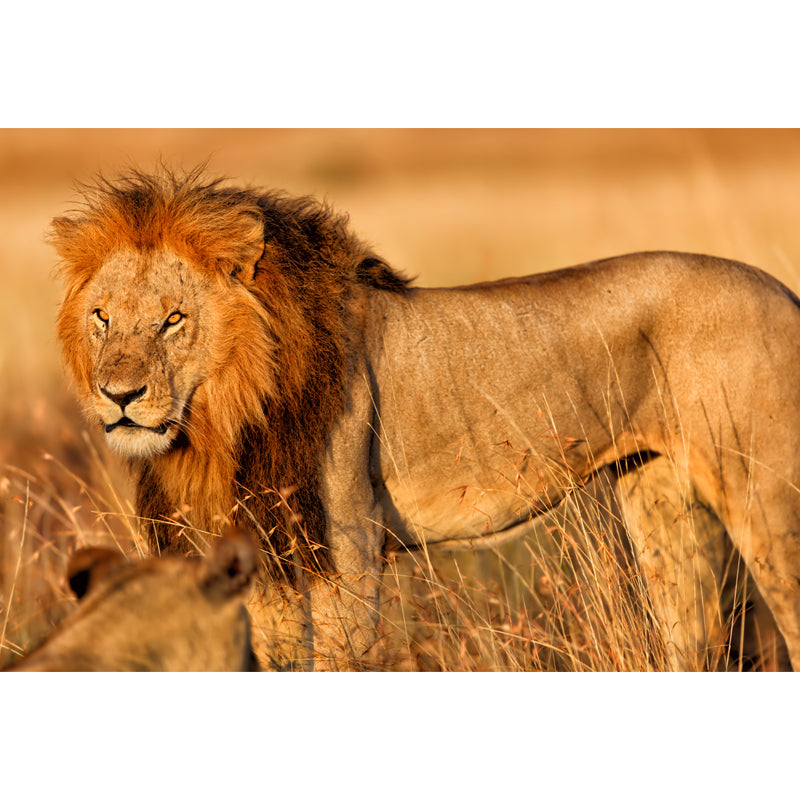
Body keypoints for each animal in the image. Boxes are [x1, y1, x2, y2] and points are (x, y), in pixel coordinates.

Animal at [49, 166, 800, 670]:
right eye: (103, 318)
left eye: (173, 320)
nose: (119, 395)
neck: (223, 419)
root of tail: (782, 291)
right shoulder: (259, 549)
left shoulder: (343, 547)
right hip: (662, 498)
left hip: (765, 496)